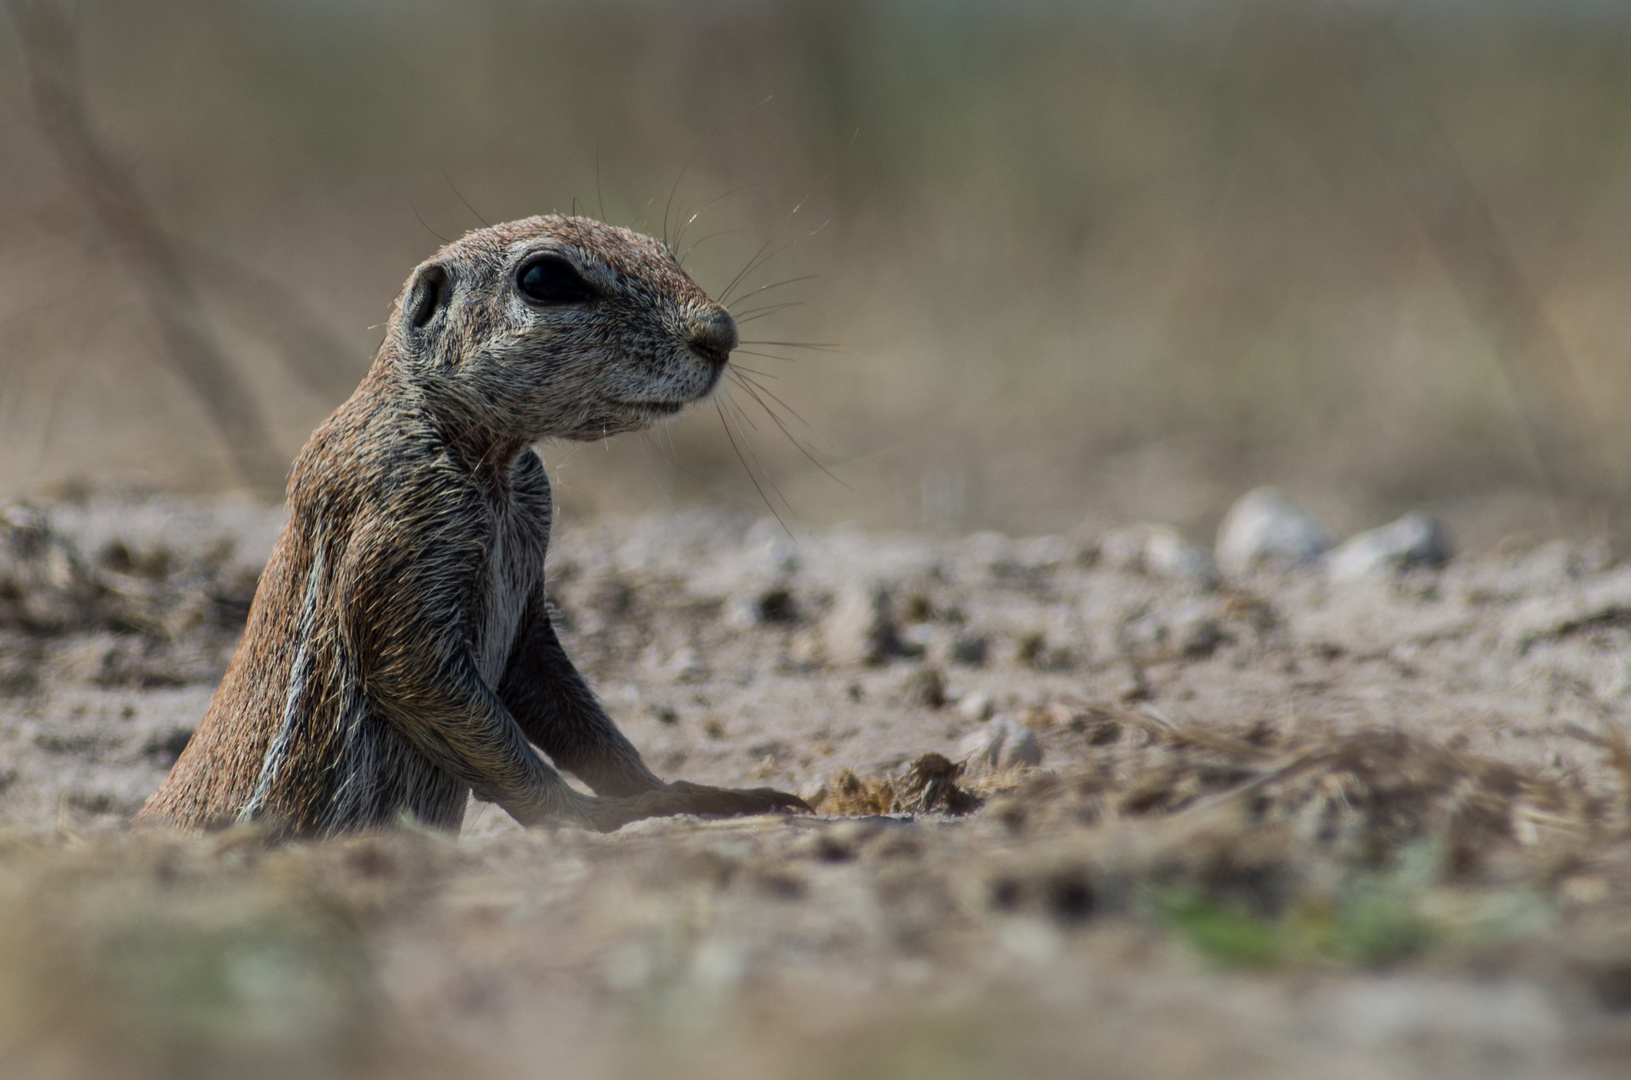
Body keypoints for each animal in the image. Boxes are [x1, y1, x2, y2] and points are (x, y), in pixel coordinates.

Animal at [138, 213, 808, 835]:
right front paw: (603, 813)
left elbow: (568, 707)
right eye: (546, 278)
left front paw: (682, 791)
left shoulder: (528, 579)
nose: (720, 334)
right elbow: (416, 674)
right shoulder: (407, 513)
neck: (492, 466)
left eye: (663, 249)